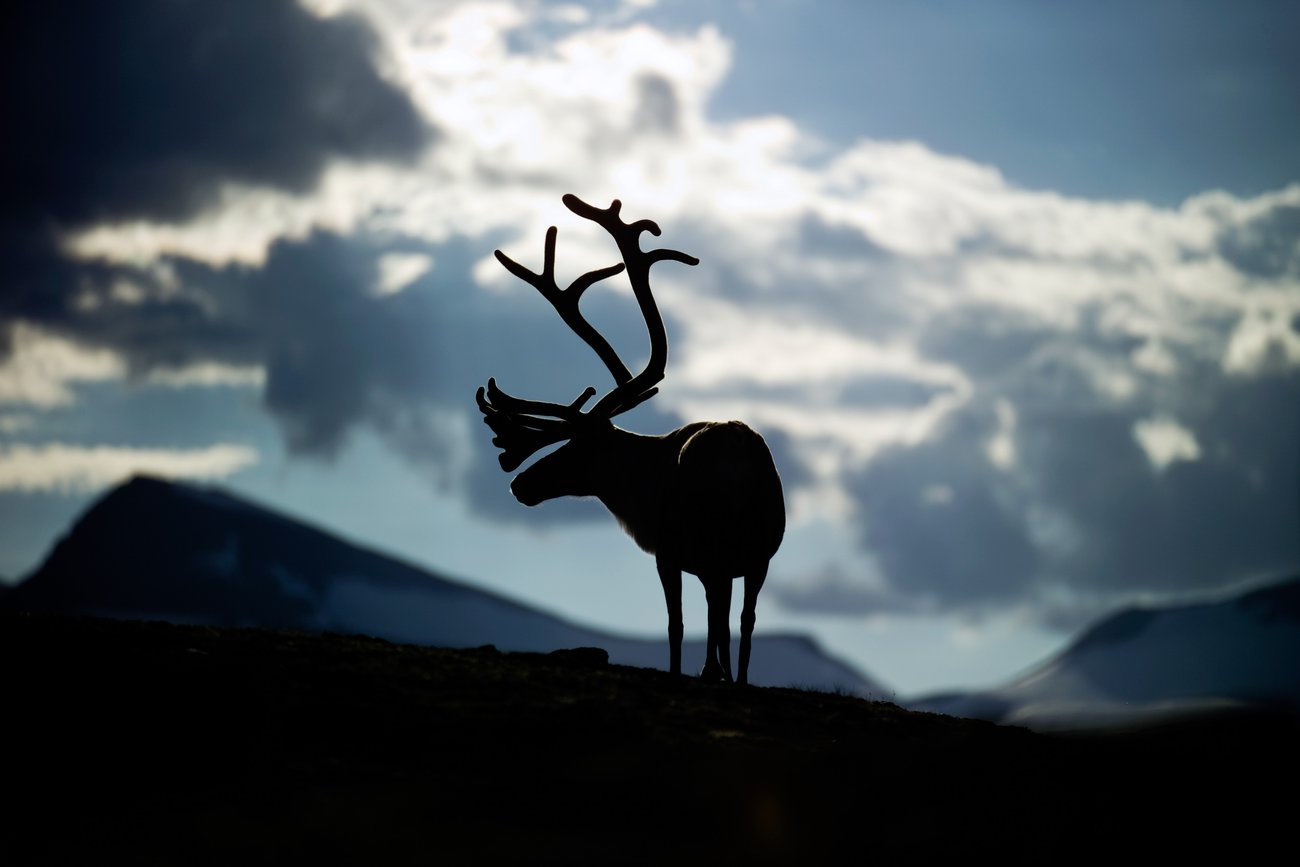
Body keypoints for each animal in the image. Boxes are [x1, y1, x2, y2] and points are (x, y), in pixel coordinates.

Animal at [476, 194, 785, 686]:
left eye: (578, 445)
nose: (519, 483)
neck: (637, 489)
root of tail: (737, 460)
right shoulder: (718, 564)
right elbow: (719, 622)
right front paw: (715, 672)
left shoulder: (668, 552)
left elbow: (678, 623)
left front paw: (690, 672)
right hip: (755, 555)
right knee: (744, 620)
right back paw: (734, 679)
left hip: (713, 545)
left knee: (715, 618)